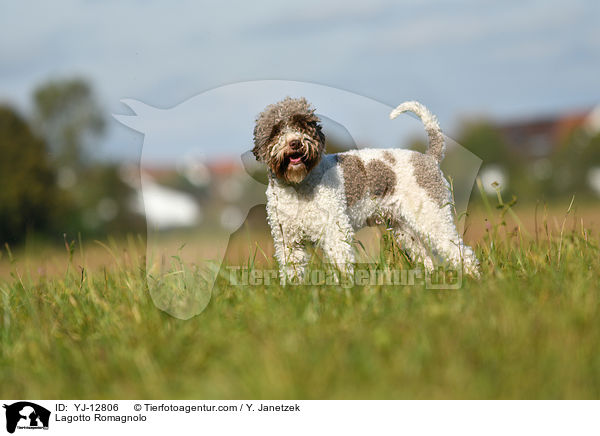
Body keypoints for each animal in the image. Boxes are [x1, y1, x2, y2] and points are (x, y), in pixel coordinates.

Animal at [251, 98, 480, 282]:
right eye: (276, 129)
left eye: (303, 125)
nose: (295, 143)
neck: (299, 187)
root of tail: (428, 157)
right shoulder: (288, 240)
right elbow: (292, 270)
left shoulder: (335, 231)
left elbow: (341, 264)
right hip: (404, 229)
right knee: (426, 258)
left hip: (433, 216)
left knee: (461, 252)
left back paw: (474, 280)